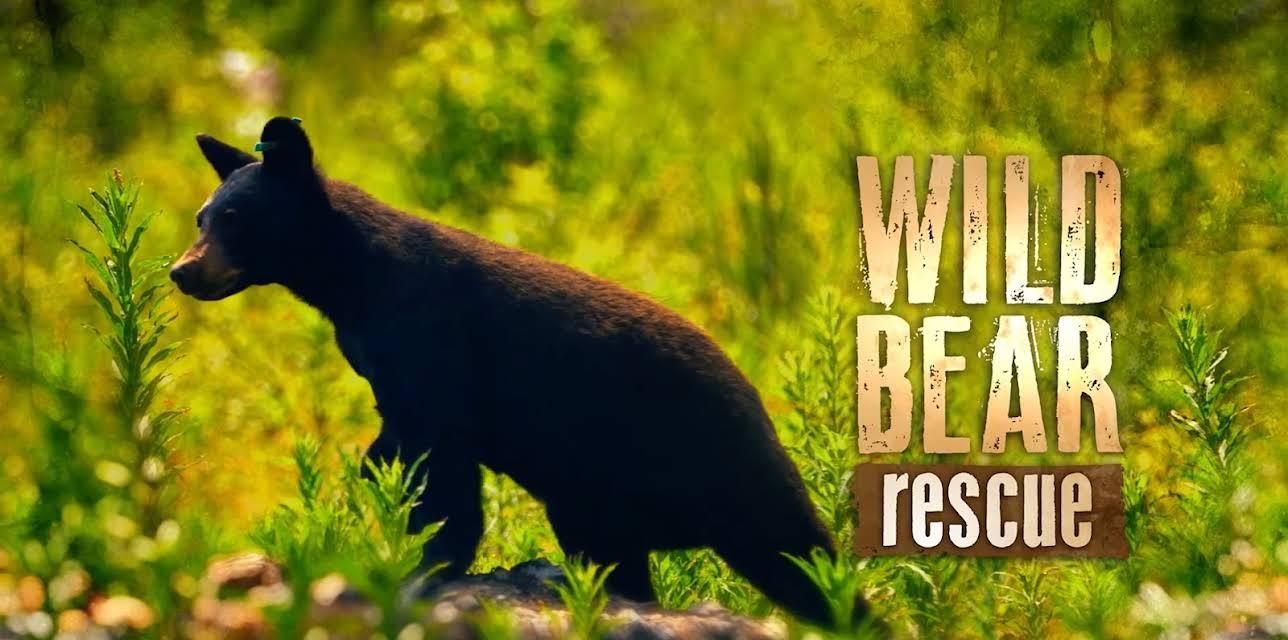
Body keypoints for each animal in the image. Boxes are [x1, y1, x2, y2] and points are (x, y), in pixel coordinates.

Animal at [172, 116, 867, 627]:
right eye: (202, 217)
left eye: (234, 219)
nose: (182, 270)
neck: (350, 283)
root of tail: (758, 405)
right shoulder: (381, 364)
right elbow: (400, 441)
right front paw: (377, 476)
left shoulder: (429, 343)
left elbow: (443, 469)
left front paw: (430, 567)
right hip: (595, 501)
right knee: (620, 558)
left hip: (725, 472)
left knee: (804, 562)